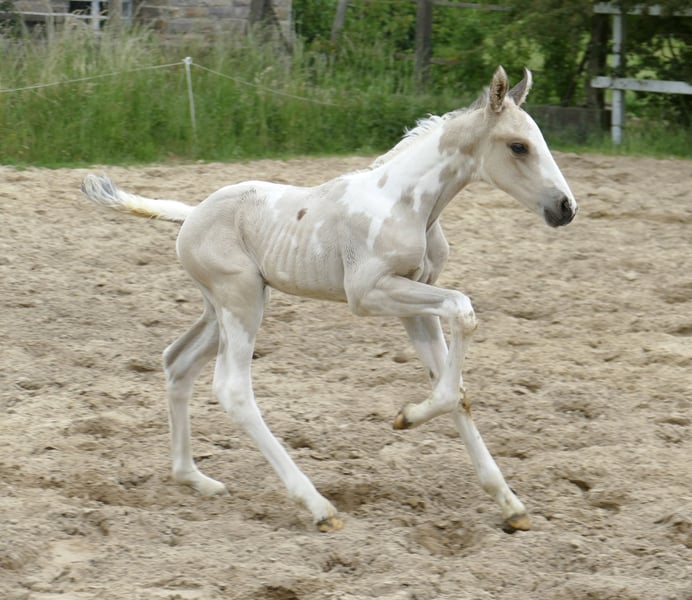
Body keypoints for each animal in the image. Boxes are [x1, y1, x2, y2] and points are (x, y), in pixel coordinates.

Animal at [81, 66, 577, 533]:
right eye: (518, 146)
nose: (566, 208)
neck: (408, 203)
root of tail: (191, 215)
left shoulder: (416, 305)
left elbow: (456, 389)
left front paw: (510, 505)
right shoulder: (368, 293)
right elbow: (463, 309)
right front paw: (406, 417)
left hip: (219, 308)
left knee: (177, 362)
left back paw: (193, 478)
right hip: (241, 302)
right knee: (232, 389)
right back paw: (318, 506)